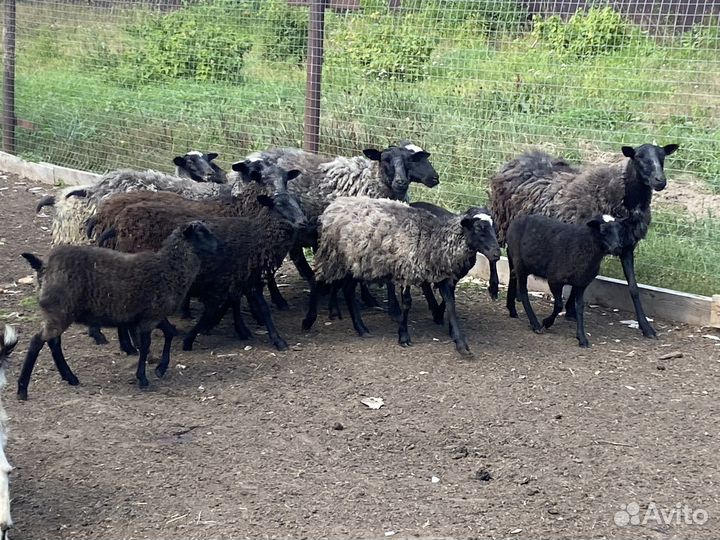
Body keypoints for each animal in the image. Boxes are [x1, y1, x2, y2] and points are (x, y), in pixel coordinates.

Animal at [17, 221, 219, 401]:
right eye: (201, 233)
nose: (219, 246)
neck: (168, 268)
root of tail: (42, 266)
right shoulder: (149, 318)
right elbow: (146, 345)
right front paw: (143, 378)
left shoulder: (153, 315)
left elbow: (169, 333)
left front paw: (160, 369)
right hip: (59, 310)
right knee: (37, 341)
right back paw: (22, 390)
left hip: (58, 312)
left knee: (53, 342)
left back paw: (70, 378)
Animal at [93, 172, 307, 351]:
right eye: (279, 205)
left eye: (298, 202)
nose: (304, 221)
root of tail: (117, 224)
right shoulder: (228, 279)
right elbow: (220, 309)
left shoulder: (245, 278)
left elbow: (258, 308)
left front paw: (274, 338)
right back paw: (129, 344)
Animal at [248, 141, 440, 315]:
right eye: (385, 159)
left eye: (411, 159)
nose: (435, 178)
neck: (371, 180)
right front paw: (371, 300)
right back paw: (281, 299)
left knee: (296, 257)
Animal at [302, 196, 495, 354]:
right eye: (479, 228)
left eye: (494, 227)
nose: (496, 253)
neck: (434, 237)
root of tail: (333, 206)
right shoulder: (406, 270)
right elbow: (407, 303)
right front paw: (403, 336)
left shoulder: (440, 276)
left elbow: (450, 305)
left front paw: (461, 344)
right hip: (332, 256)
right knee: (318, 282)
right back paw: (308, 320)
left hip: (355, 262)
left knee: (347, 290)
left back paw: (361, 328)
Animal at [505, 214, 625, 347]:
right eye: (603, 231)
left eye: (620, 231)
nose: (618, 248)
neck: (583, 245)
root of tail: (516, 220)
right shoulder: (555, 280)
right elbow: (558, 305)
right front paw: (547, 322)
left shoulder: (582, 283)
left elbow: (579, 308)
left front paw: (582, 338)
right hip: (520, 263)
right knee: (523, 292)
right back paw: (535, 324)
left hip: (515, 260)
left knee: (512, 277)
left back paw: (512, 310)